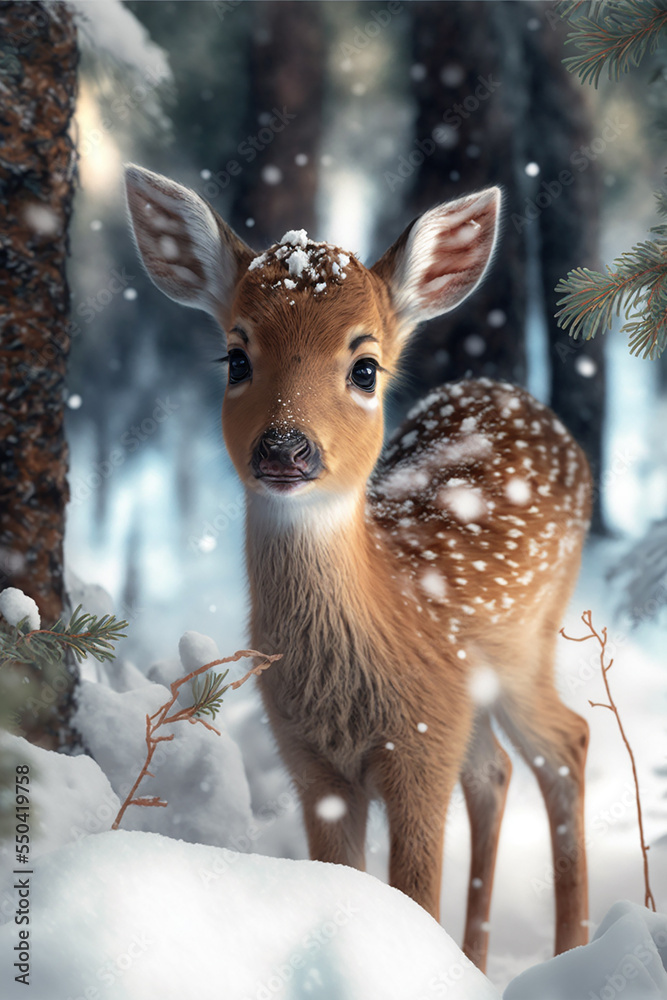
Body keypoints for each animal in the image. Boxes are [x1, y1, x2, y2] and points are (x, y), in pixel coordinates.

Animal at [125, 165, 591, 972]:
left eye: (364, 367)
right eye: (236, 357)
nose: (285, 447)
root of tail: (518, 396)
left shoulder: (421, 741)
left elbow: (416, 895)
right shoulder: (312, 762)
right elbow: (349, 881)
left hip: (527, 645)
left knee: (566, 743)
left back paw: (571, 956)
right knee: (494, 770)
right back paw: (478, 963)